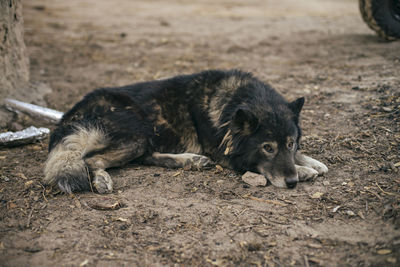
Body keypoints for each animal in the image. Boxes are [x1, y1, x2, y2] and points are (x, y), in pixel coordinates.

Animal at [43, 70, 328, 194]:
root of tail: (69, 115)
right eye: (267, 148)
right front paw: (303, 170)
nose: (291, 182)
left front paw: (311, 162)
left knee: (146, 157)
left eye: (290, 143)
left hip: (143, 138)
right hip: (136, 134)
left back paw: (190, 160)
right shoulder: (226, 155)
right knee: (90, 159)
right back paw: (101, 180)